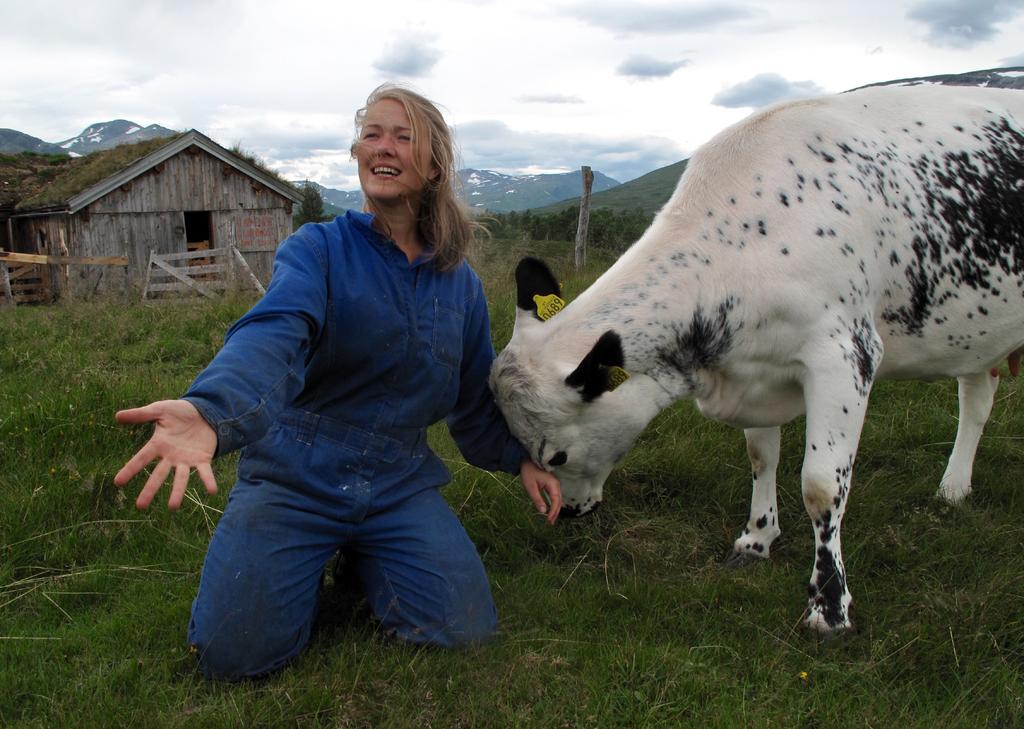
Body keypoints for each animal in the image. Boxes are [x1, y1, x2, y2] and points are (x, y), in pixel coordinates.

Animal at [487, 83, 1024, 630]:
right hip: (978, 334)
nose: (567, 514)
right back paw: (954, 488)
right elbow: (761, 456)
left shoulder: (844, 355)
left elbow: (821, 486)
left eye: (557, 455)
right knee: (976, 403)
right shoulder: (756, 367)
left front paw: (829, 605)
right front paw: (757, 538)